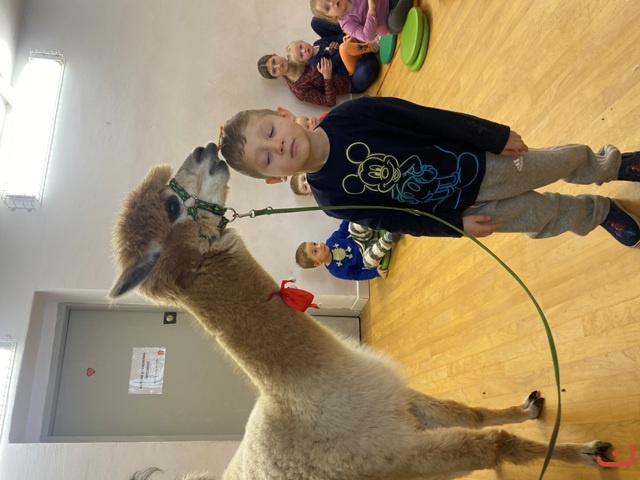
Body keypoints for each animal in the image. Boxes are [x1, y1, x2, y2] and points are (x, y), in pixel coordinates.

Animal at [110, 142, 612, 480]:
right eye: (171, 204)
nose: (204, 148)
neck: (307, 395)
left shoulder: (397, 402)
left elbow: (469, 413)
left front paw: (529, 409)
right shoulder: (397, 456)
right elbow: (496, 444)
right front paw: (587, 453)